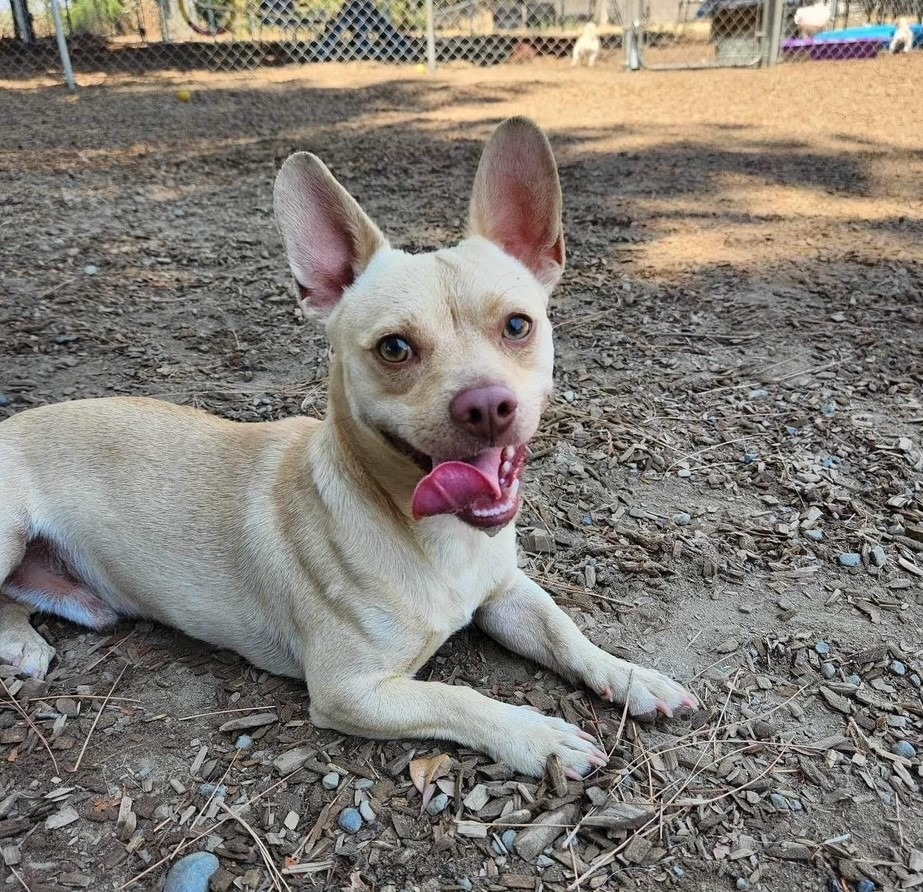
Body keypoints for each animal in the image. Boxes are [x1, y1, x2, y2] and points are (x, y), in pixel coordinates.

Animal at [0, 120, 696, 780]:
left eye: (518, 326)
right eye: (395, 348)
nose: (487, 405)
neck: (433, 535)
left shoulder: (508, 593)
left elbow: (564, 629)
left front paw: (633, 676)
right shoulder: (352, 690)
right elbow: (458, 696)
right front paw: (536, 735)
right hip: (7, 530)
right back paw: (23, 645)